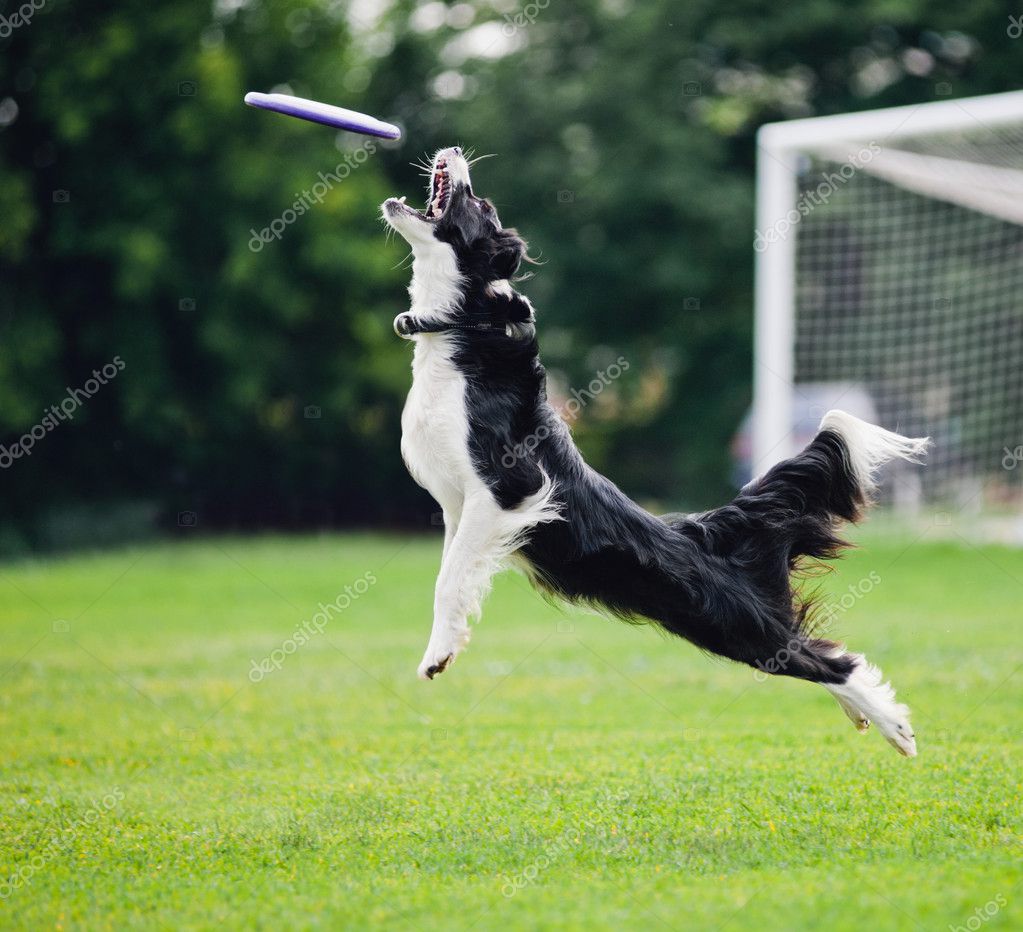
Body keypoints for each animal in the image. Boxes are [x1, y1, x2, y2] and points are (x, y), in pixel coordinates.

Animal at [382, 147, 928, 757]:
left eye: (480, 204)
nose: (454, 151)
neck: (462, 322)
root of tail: (707, 529)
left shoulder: (510, 489)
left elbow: (449, 579)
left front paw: (437, 656)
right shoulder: (462, 507)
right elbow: (454, 571)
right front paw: (446, 644)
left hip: (733, 624)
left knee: (827, 660)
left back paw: (894, 727)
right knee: (816, 651)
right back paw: (865, 716)